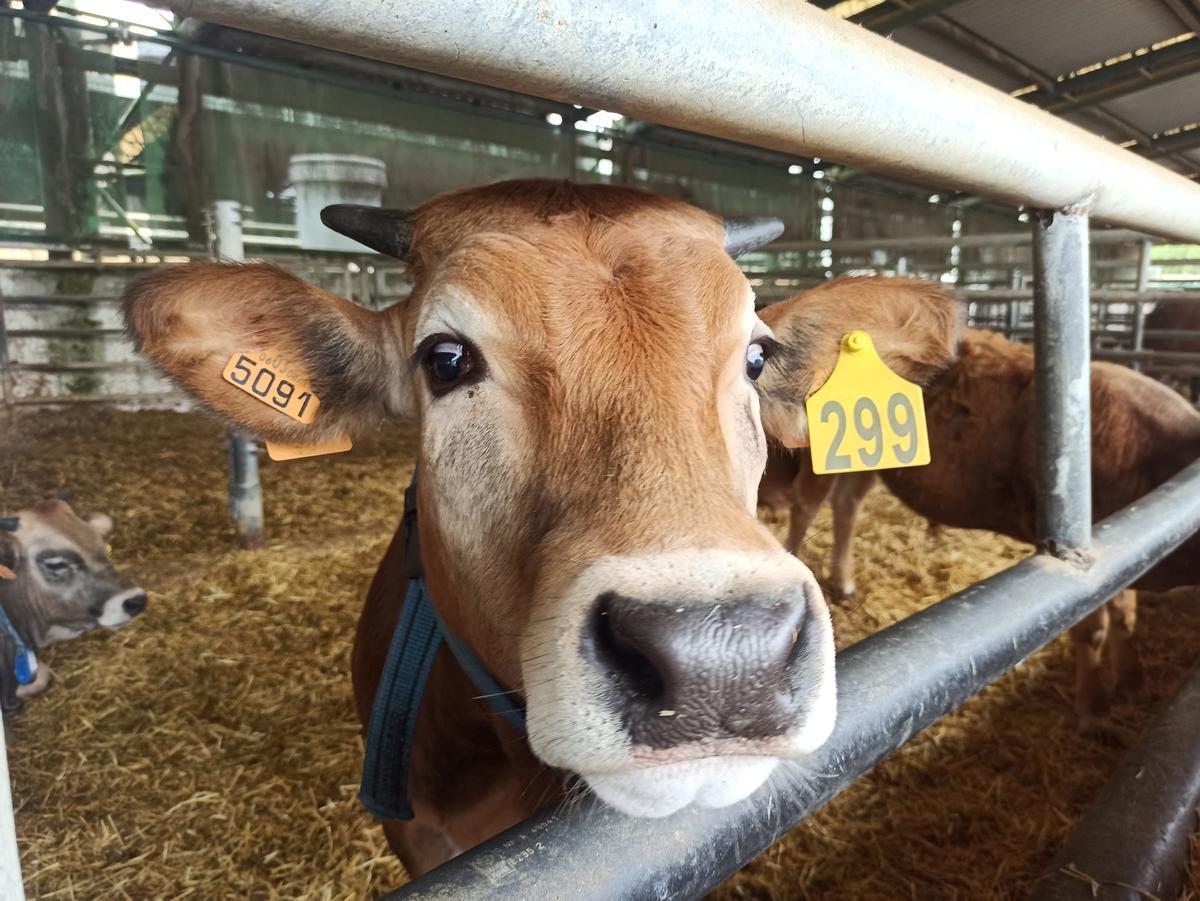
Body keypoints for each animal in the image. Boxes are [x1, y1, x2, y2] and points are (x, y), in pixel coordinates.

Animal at [753, 278, 1200, 734]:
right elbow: (1091, 624)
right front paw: (1094, 711)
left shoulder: (1128, 540)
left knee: (847, 503)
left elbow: (1125, 614)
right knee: (808, 505)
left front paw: (1133, 680)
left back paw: (843, 582)